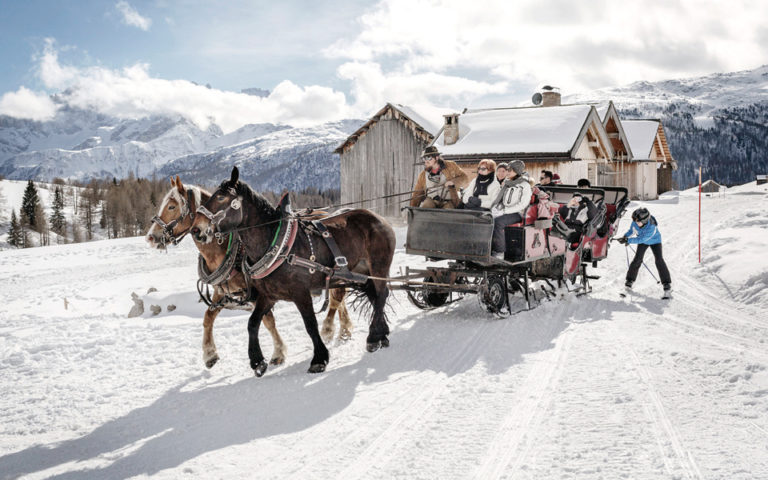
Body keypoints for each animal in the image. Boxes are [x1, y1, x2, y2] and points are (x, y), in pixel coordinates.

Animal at [147, 176, 354, 372]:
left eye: (172, 206)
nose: (150, 237)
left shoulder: (258, 292)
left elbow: (268, 321)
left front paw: (278, 353)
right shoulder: (222, 292)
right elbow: (208, 317)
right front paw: (209, 354)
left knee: (337, 297)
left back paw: (329, 329)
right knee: (339, 297)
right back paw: (344, 330)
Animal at [190, 168, 396, 376]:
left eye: (221, 197)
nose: (196, 229)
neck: (275, 243)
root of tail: (378, 217)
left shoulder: (300, 293)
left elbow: (310, 324)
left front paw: (319, 359)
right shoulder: (268, 295)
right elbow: (253, 323)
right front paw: (257, 361)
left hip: (379, 266)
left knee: (381, 295)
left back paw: (373, 338)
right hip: (362, 272)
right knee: (374, 297)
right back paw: (382, 335)